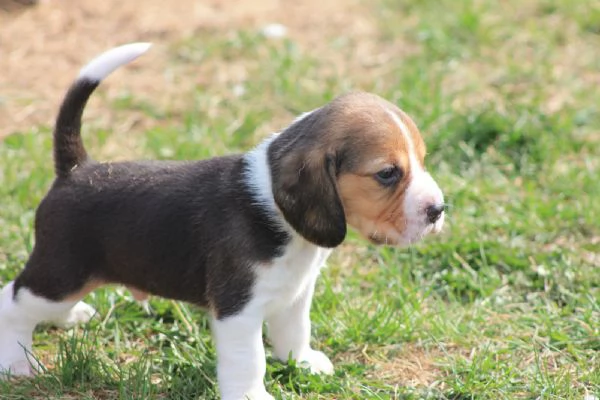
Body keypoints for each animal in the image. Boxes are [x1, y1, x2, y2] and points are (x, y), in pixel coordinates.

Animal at [0, 43, 446, 400]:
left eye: (423, 159)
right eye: (387, 174)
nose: (439, 209)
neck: (277, 214)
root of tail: (76, 170)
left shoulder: (296, 293)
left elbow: (295, 331)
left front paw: (302, 363)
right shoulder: (238, 310)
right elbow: (249, 360)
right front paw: (251, 395)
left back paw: (68, 318)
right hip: (60, 274)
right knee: (13, 300)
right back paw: (17, 363)